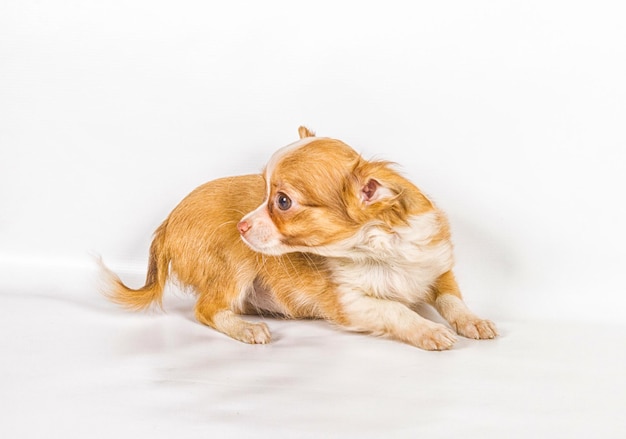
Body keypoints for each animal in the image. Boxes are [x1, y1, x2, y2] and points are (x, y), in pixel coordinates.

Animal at [98, 126, 498, 350]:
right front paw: (427, 330)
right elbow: (395, 308)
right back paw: (246, 329)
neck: (380, 250)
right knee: (206, 309)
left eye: (283, 201)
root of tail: (166, 224)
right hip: (237, 260)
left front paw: (473, 321)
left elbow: (452, 300)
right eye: (264, 191)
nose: (242, 225)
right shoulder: (346, 302)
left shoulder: (436, 269)